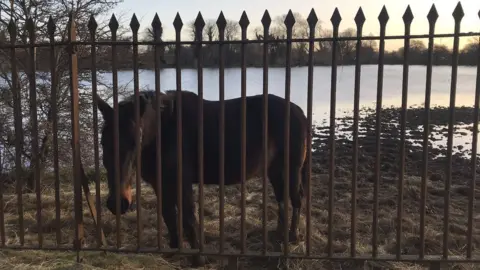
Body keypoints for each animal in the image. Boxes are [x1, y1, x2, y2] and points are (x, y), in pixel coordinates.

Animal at [95, 89, 310, 266]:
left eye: (135, 141)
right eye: (103, 141)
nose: (117, 203)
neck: (163, 132)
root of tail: (298, 111)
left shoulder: (182, 181)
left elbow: (188, 216)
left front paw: (198, 258)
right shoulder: (160, 183)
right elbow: (168, 214)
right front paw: (173, 249)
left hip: (290, 169)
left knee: (296, 199)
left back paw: (292, 236)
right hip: (275, 170)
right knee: (283, 199)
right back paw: (279, 235)